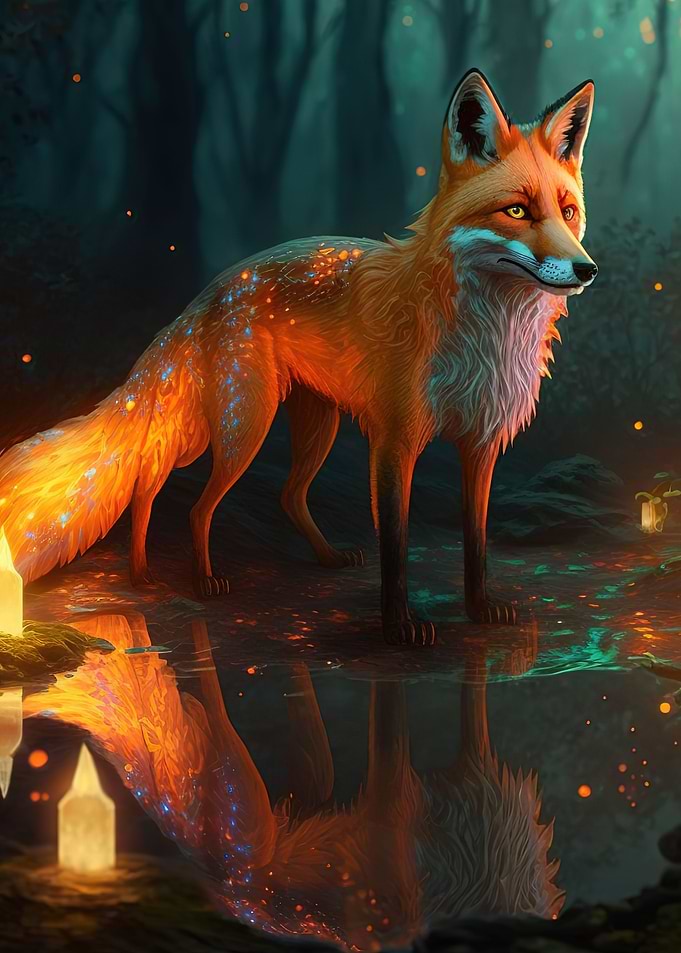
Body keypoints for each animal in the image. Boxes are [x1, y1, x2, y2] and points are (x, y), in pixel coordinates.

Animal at [0, 69, 597, 645]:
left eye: (568, 212)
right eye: (517, 210)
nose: (586, 269)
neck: (483, 334)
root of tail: (212, 290)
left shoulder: (481, 443)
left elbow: (476, 543)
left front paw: (478, 610)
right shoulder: (394, 442)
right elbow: (396, 545)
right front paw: (398, 628)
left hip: (313, 422)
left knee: (271, 494)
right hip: (241, 426)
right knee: (176, 494)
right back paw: (192, 578)